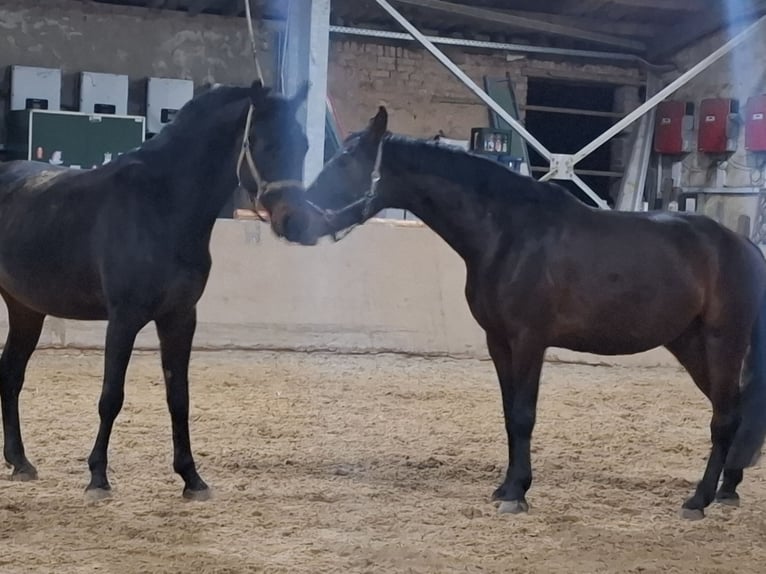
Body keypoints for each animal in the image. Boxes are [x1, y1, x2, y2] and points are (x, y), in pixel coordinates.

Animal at [0, 80, 312, 500]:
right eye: (264, 142)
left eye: (305, 145)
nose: (296, 221)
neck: (162, 206)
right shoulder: (123, 319)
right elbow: (111, 397)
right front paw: (98, 478)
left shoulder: (179, 318)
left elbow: (178, 397)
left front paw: (192, 479)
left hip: (26, 309)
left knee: (11, 373)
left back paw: (20, 462)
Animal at [260, 106, 766, 520]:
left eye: (345, 163)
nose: (289, 220)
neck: (509, 234)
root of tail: (742, 245)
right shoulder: (498, 341)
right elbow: (508, 415)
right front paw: (506, 486)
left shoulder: (529, 340)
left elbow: (524, 414)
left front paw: (517, 495)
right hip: (689, 344)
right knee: (734, 410)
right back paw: (728, 489)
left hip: (722, 341)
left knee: (724, 417)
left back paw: (698, 500)